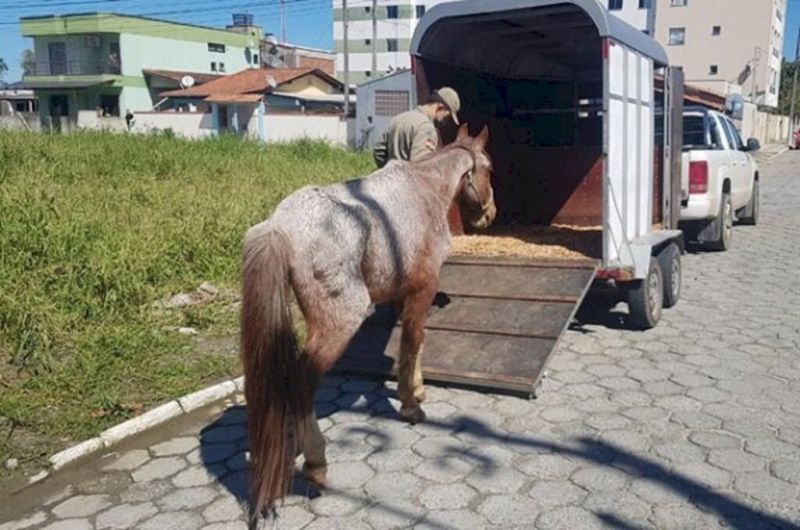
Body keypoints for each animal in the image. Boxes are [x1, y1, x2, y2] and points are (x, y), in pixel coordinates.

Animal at [241, 122, 496, 520]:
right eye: (490, 169)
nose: (490, 215)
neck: (423, 191)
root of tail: (280, 227)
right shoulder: (423, 288)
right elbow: (412, 340)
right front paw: (410, 406)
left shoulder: (402, 294)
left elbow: (414, 343)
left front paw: (417, 389)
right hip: (339, 324)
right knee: (300, 380)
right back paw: (315, 462)